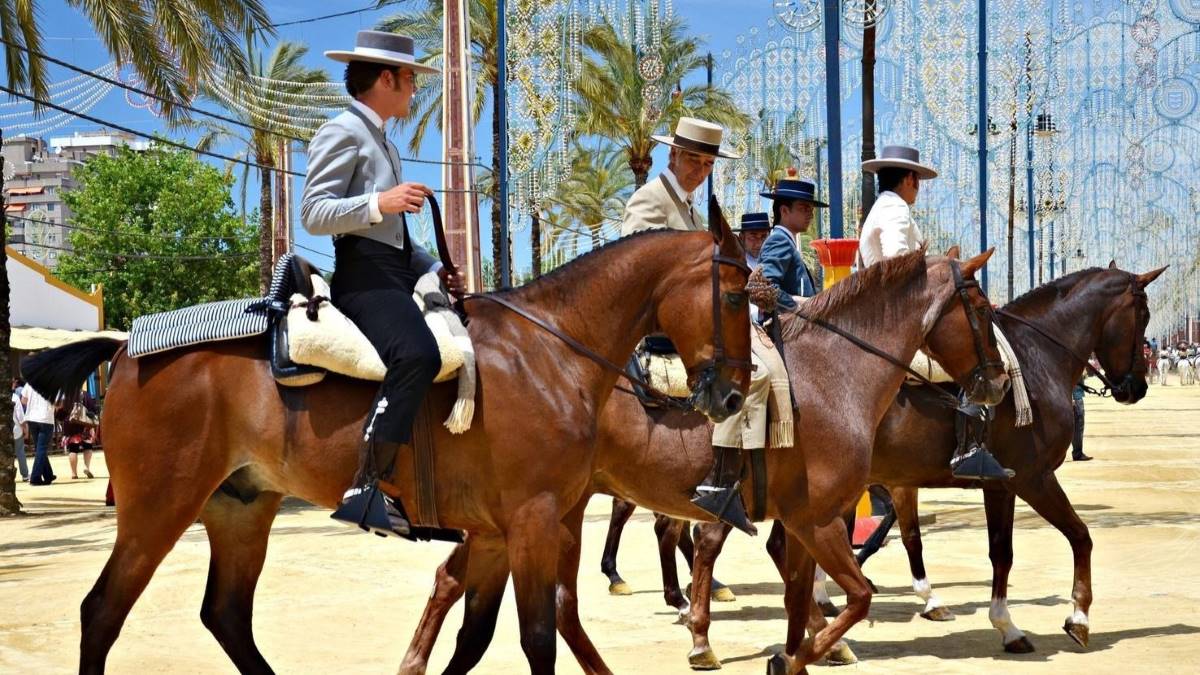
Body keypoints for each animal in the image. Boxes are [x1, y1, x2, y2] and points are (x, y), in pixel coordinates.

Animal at [20, 223, 754, 675]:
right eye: (737, 294)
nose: (733, 396)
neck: (547, 351)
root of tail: (125, 346)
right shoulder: (535, 521)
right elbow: (535, 638)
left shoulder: (498, 533)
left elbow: (475, 636)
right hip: (159, 508)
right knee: (102, 612)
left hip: (241, 508)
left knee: (225, 614)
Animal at [396, 249, 1010, 674]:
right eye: (981, 309)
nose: (1000, 382)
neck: (833, 373)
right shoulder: (817, 520)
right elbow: (858, 597)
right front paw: (773, 653)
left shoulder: (801, 523)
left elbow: (799, 603)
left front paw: (793, 654)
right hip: (534, 514)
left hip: (537, 515)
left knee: (483, 586)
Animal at [681, 263, 1161, 661]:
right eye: (1143, 316)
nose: (1136, 387)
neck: (1035, 357)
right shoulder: (1034, 478)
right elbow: (1080, 536)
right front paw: (1077, 617)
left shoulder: (998, 484)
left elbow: (997, 552)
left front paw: (1005, 626)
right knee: (711, 539)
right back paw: (703, 635)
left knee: (773, 546)